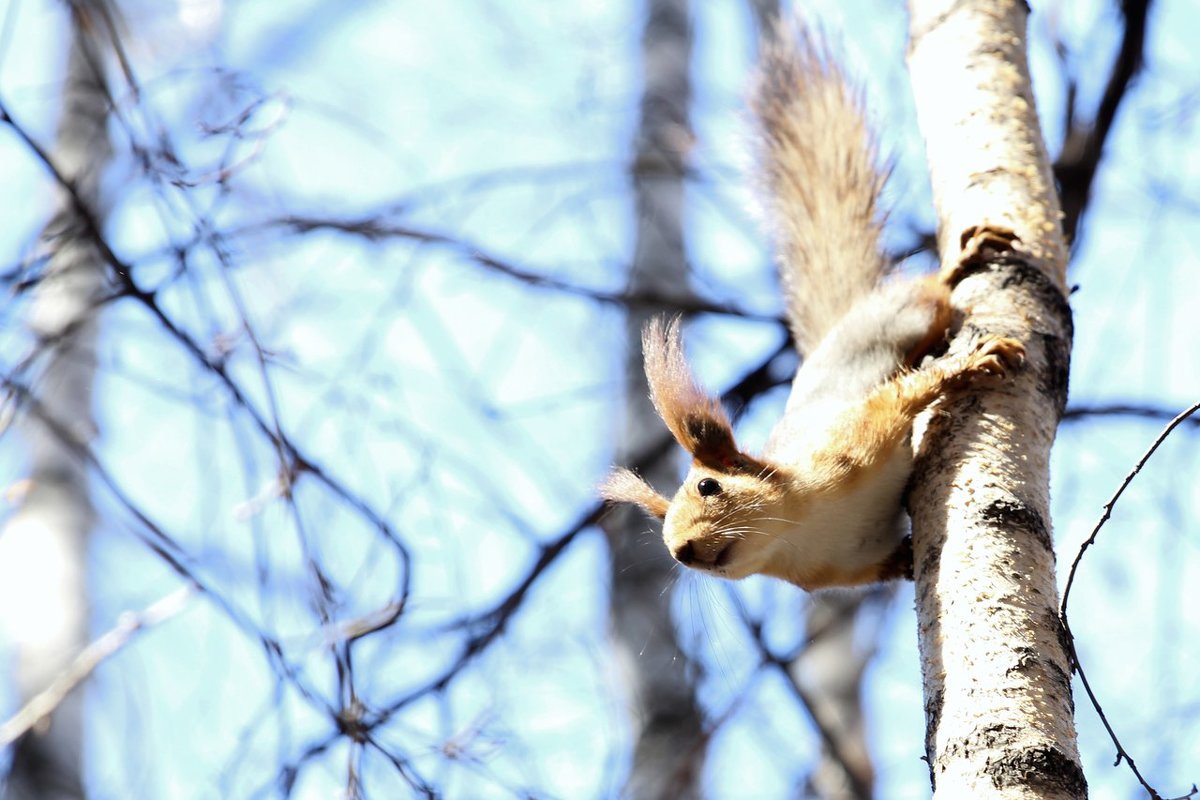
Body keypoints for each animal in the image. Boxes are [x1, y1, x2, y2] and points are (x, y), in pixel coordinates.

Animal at [600, 26, 1022, 587]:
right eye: (664, 530)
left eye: (708, 486)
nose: (681, 551)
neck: (796, 528)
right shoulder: (838, 569)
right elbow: (882, 565)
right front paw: (906, 560)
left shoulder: (850, 439)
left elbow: (902, 397)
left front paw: (969, 364)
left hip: (901, 318)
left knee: (931, 293)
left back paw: (961, 264)